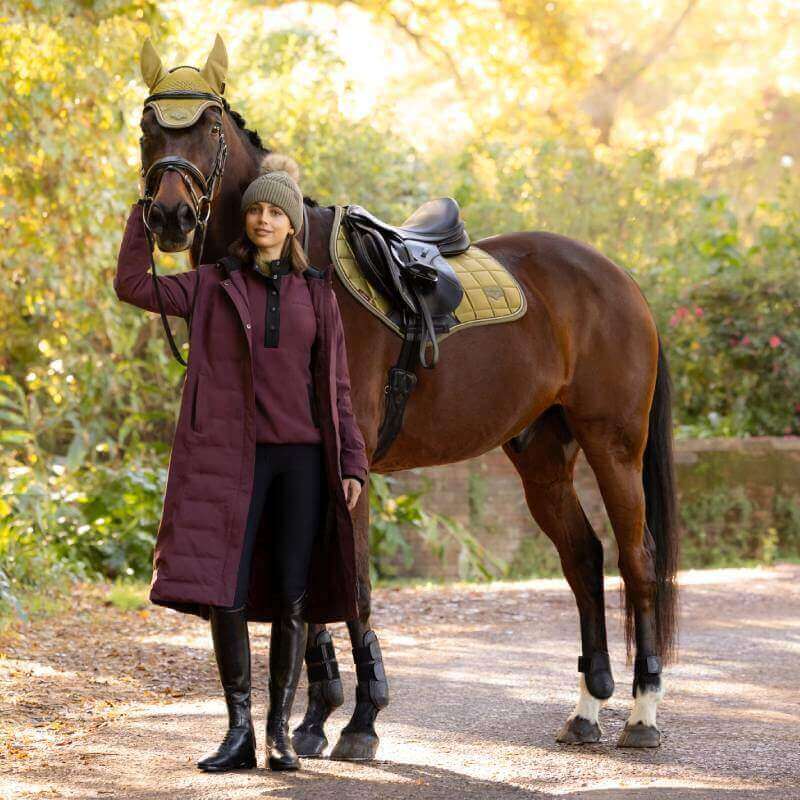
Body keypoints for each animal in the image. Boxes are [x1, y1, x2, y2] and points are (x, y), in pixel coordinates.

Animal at [134, 35, 679, 757]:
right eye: (147, 126)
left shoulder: (348, 467)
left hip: (613, 444)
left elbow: (355, 589)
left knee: (637, 561)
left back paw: (643, 713)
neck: (290, 270)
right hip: (541, 453)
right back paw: (587, 707)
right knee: (584, 559)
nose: (170, 215)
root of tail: (621, 280)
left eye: (212, 126)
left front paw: (362, 719)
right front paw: (317, 716)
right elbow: (312, 593)